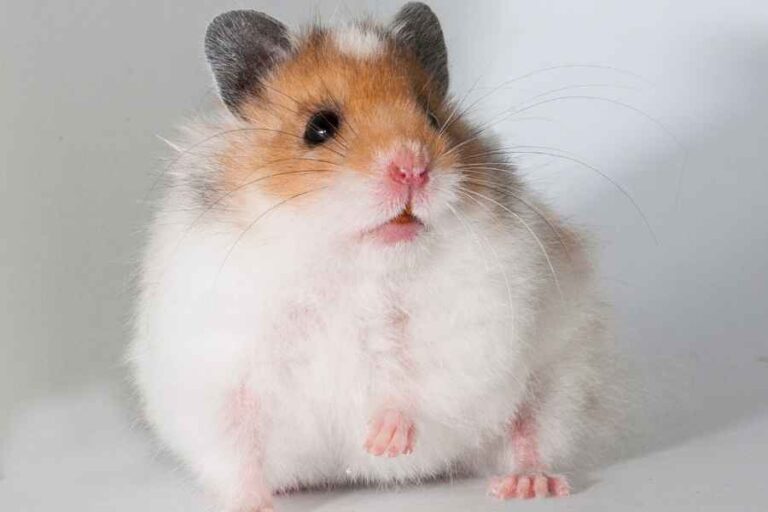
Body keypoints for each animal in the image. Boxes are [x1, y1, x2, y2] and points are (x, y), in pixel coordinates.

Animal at [129, 3, 617, 511]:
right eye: (319, 127)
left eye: (433, 118)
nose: (414, 168)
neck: (352, 259)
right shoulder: (222, 367)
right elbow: (238, 448)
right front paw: (253, 504)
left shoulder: (471, 326)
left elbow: (411, 380)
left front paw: (384, 445)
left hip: (561, 378)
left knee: (529, 433)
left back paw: (529, 485)